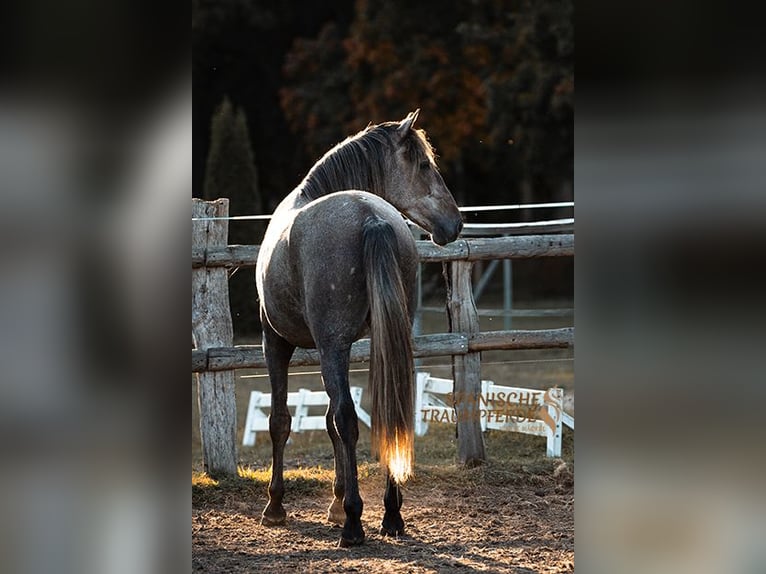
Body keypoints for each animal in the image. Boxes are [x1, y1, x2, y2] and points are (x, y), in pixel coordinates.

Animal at [255, 110, 462, 547]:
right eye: (423, 165)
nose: (455, 223)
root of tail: (373, 218)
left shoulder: (278, 342)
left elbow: (285, 421)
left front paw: (277, 506)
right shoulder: (347, 347)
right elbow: (330, 421)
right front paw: (335, 504)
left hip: (327, 346)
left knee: (349, 421)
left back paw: (354, 523)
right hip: (385, 342)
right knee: (390, 412)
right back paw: (391, 515)